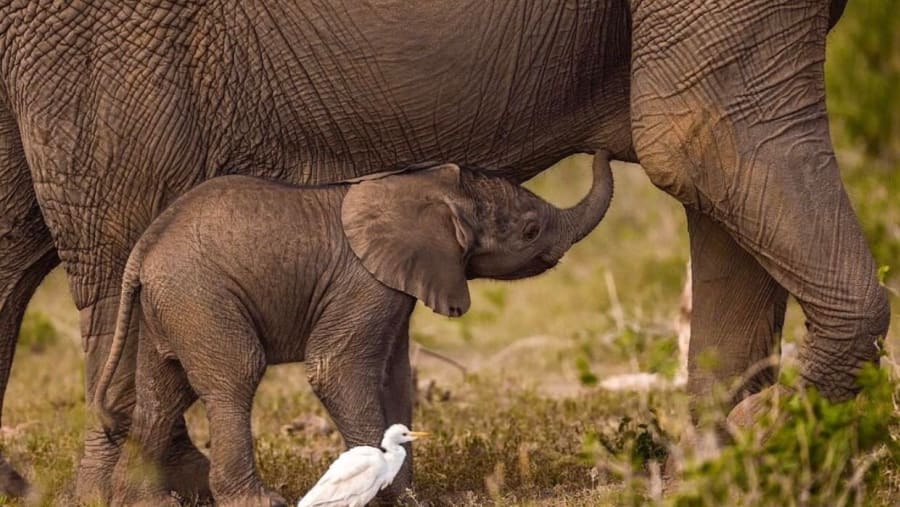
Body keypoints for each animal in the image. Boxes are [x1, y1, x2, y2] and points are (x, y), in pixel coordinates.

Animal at [91, 153, 613, 506]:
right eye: (530, 230)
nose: (600, 150)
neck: (425, 186)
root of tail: (143, 251)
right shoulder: (364, 281)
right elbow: (336, 370)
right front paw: (393, 497)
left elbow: (393, 377)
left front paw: (406, 496)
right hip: (201, 298)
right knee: (234, 377)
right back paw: (259, 501)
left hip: (172, 306)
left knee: (160, 393)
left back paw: (144, 503)